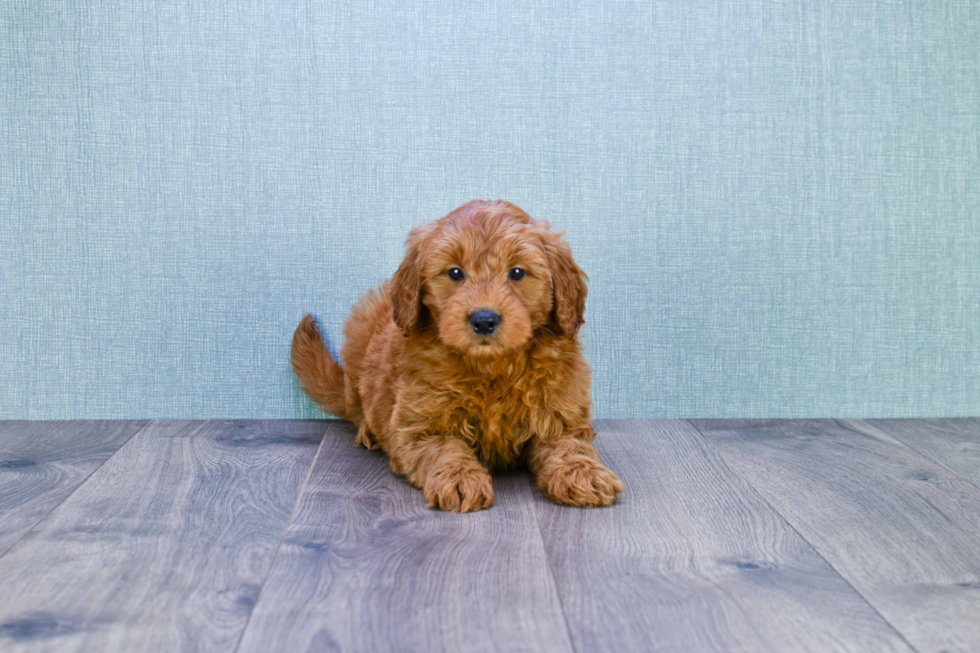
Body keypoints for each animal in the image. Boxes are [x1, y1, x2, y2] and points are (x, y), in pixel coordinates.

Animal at [290, 199, 624, 510]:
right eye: (454, 273)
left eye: (517, 272)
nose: (484, 319)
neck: (493, 367)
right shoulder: (419, 426)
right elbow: (445, 449)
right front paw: (460, 479)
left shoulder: (561, 416)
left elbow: (569, 446)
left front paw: (584, 474)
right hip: (360, 340)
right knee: (358, 406)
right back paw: (369, 432)